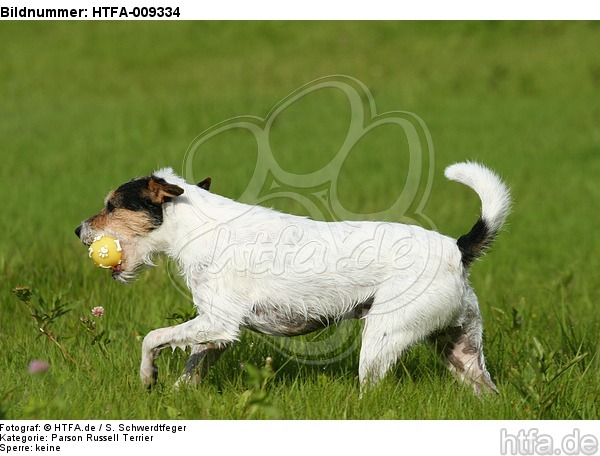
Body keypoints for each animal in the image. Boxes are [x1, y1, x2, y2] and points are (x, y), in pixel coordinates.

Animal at [72, 162, 508, 394]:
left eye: (111, 205)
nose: (77, 231)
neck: (198, 226)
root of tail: (456, 248)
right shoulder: (216, 331)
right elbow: (192, 365)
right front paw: (174, 398)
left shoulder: (217, 321)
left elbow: (152, 339)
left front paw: (148, 378)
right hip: (462, 348)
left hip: (381, 339)